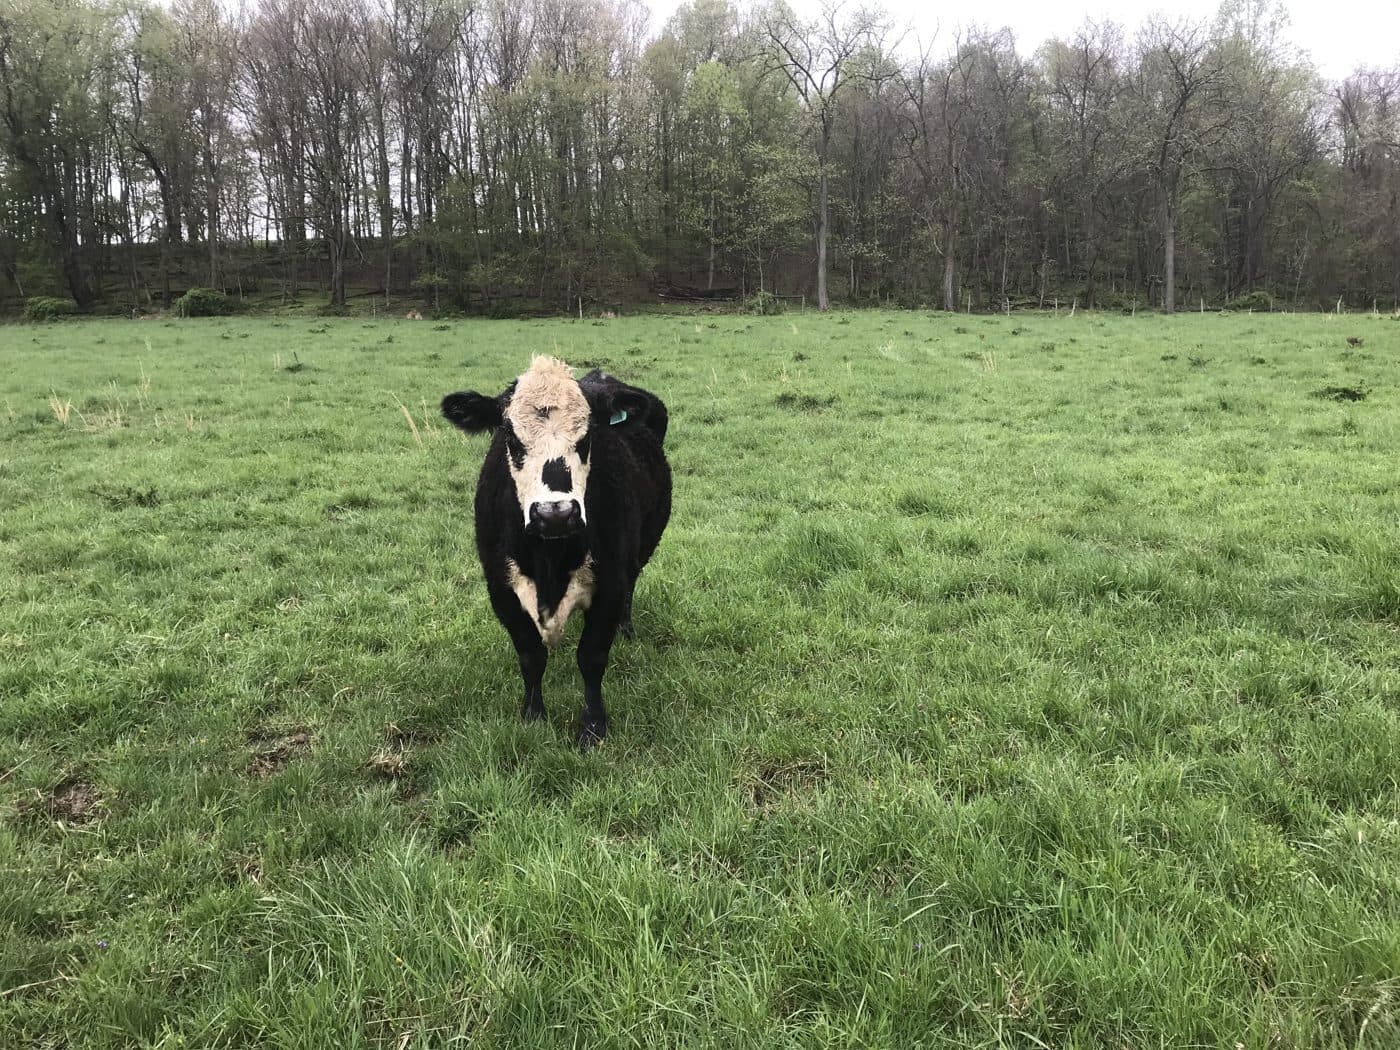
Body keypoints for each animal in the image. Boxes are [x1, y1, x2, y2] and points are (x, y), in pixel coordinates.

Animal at [441, 356, 671, 746]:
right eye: (511, 436)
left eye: (587, 436)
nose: (555, 514)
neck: (550, 559)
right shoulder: (500, 588)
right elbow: (530, 655)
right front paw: (534, 715)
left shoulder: (610, 583)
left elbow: (591, 656)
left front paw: (593, 726)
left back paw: (626, 628)